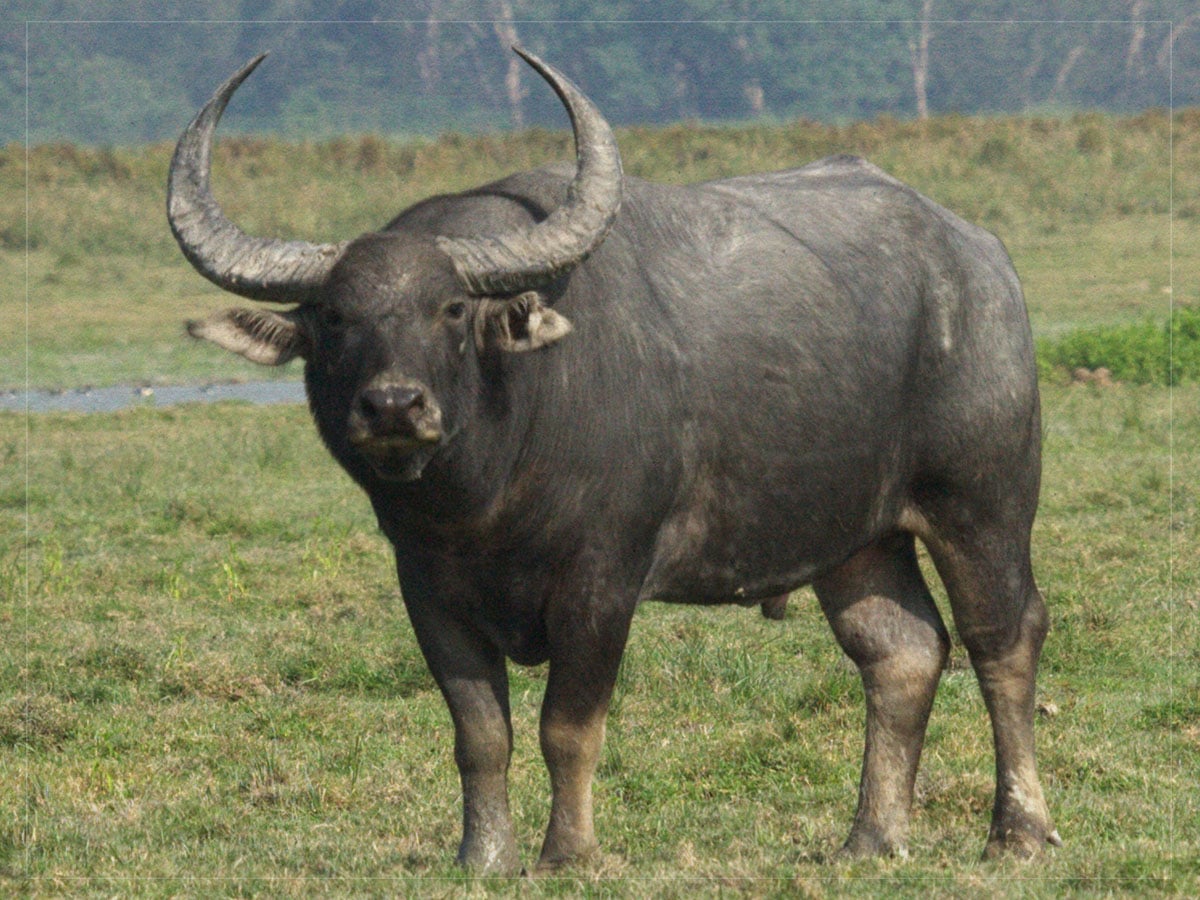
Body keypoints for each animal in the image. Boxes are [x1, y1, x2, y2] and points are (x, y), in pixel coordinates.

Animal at [168, 49, 1058, 872]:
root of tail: (981, 259)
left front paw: (568, 852)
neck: (485, 499)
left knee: (1002, 639)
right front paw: (483, 855)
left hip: (980, 503)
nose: (393, 405)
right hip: (858, 537)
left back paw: (1018, 831)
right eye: (333, 317)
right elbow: (479, 732)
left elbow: (567, 726)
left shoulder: (602, 580)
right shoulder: (426, 587)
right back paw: (871, 838)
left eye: (450, 308)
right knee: (901, 652)